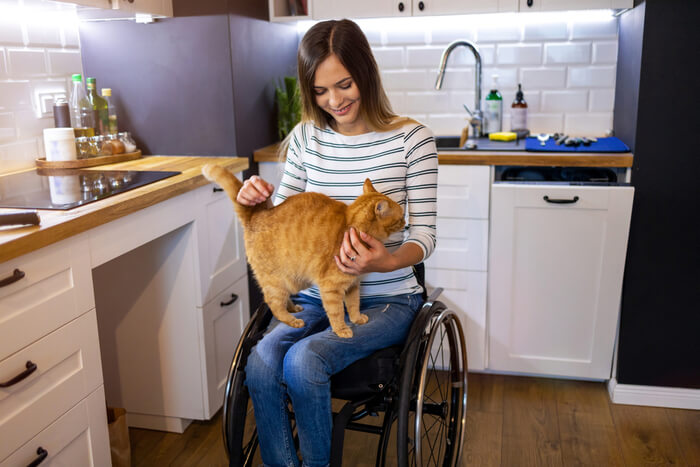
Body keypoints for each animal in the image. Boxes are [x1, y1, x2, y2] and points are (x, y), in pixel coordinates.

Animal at [201, 165, 404, 340]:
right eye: (400, 216)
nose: (405, 221)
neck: (350, 226)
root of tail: (256, 215)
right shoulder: (331, 288)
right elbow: (337, 312)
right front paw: (342, 330)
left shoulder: (353, 284)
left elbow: (354, 304)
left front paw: (356, 319)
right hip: (275, 282)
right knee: (273, 303)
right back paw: (293, 320)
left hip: (290, 282)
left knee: (281, 300)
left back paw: (293, 308)